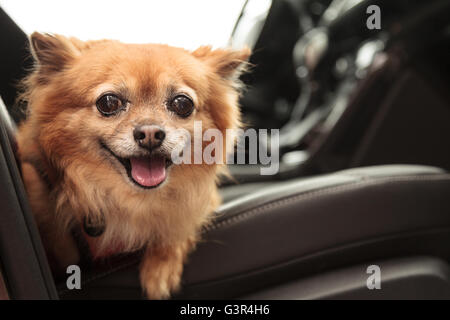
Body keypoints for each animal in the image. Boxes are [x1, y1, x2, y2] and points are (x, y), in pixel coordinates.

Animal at [17, 31, 250, 298]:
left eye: (182, 104)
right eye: (108, 102)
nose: (150, 134)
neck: (127, 199)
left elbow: (177, 223)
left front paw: (160, 267)